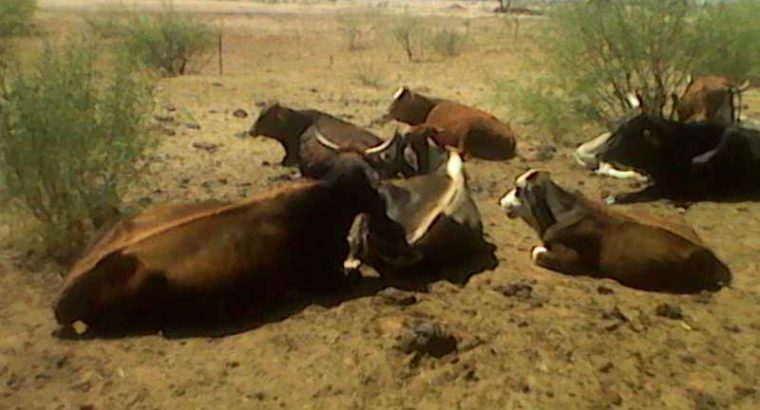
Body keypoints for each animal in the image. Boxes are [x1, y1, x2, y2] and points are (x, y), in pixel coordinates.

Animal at [381, 87, 517, 160]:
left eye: (397, 104)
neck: (430, 107)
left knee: (462, 151)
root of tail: (511, 137)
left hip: (469, 128)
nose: (384, 115)